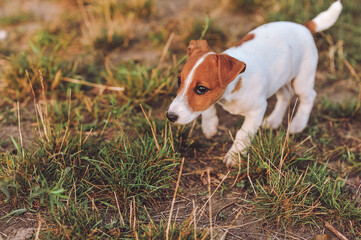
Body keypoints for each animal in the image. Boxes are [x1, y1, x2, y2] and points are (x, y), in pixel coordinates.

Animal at [165, 0, 340, 166]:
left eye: (201, 89)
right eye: (179, 80)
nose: (170, 116)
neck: (235, 84)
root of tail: (304, 27)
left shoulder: (257, 110)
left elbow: (243, 133)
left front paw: (234, 156)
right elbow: (207, 108)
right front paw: (210, 126)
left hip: (303, 79)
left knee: (309, 96)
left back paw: (298, 123)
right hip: (280, 78)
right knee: (285, 96)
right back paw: (274, 120)